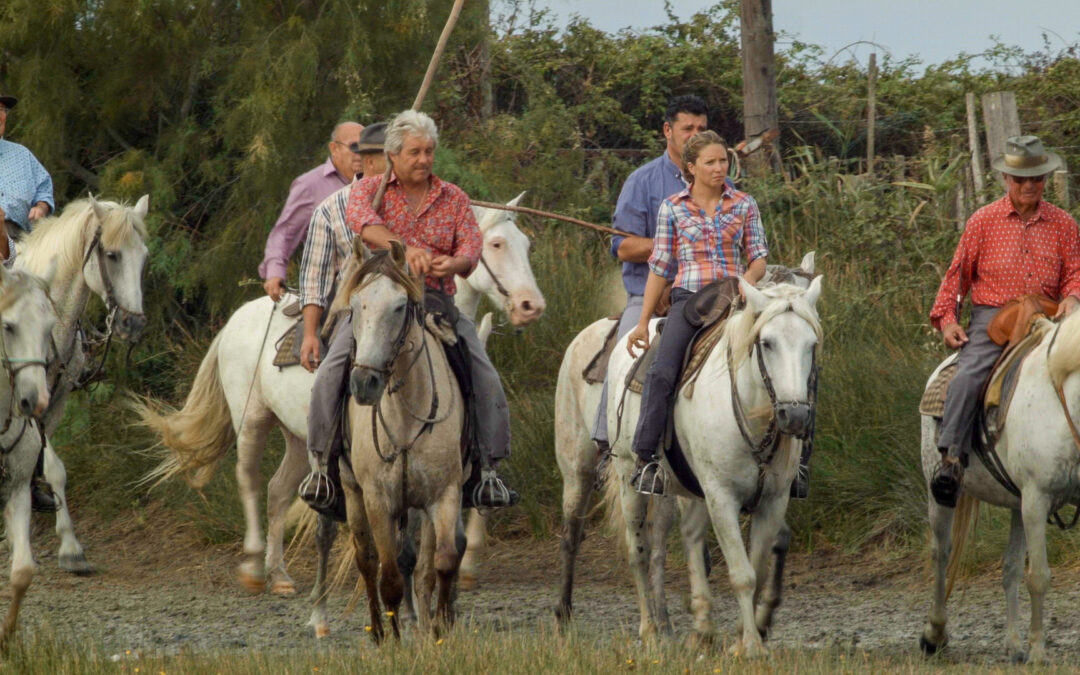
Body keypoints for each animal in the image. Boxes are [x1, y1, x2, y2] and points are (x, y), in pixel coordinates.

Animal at [14, 194, 149, 574]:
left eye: (144, 256)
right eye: (112, 254)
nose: (133, 324)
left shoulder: (54, 400)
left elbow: (53, 468)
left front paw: (71, 548)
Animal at [136, 194, 544, 596]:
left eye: (526, 245)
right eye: (497, 244)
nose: (531, 306)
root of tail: (235, 321)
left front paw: (463, 565)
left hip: (299, 437)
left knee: (278, 490)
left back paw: (279, 573)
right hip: (251, 420)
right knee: (249, 479)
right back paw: (253, 566)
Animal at [920, 304, 1080, 665]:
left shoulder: (1030, 504)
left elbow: (1020, 572)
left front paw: (1028, 647)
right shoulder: (1037, 499)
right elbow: (1039, 577)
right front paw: (1038, 652)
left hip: (1017, 505)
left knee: (1009, 569)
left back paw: (1014, 644)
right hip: (941, 493)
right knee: (941, 554)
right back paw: (935, 636)